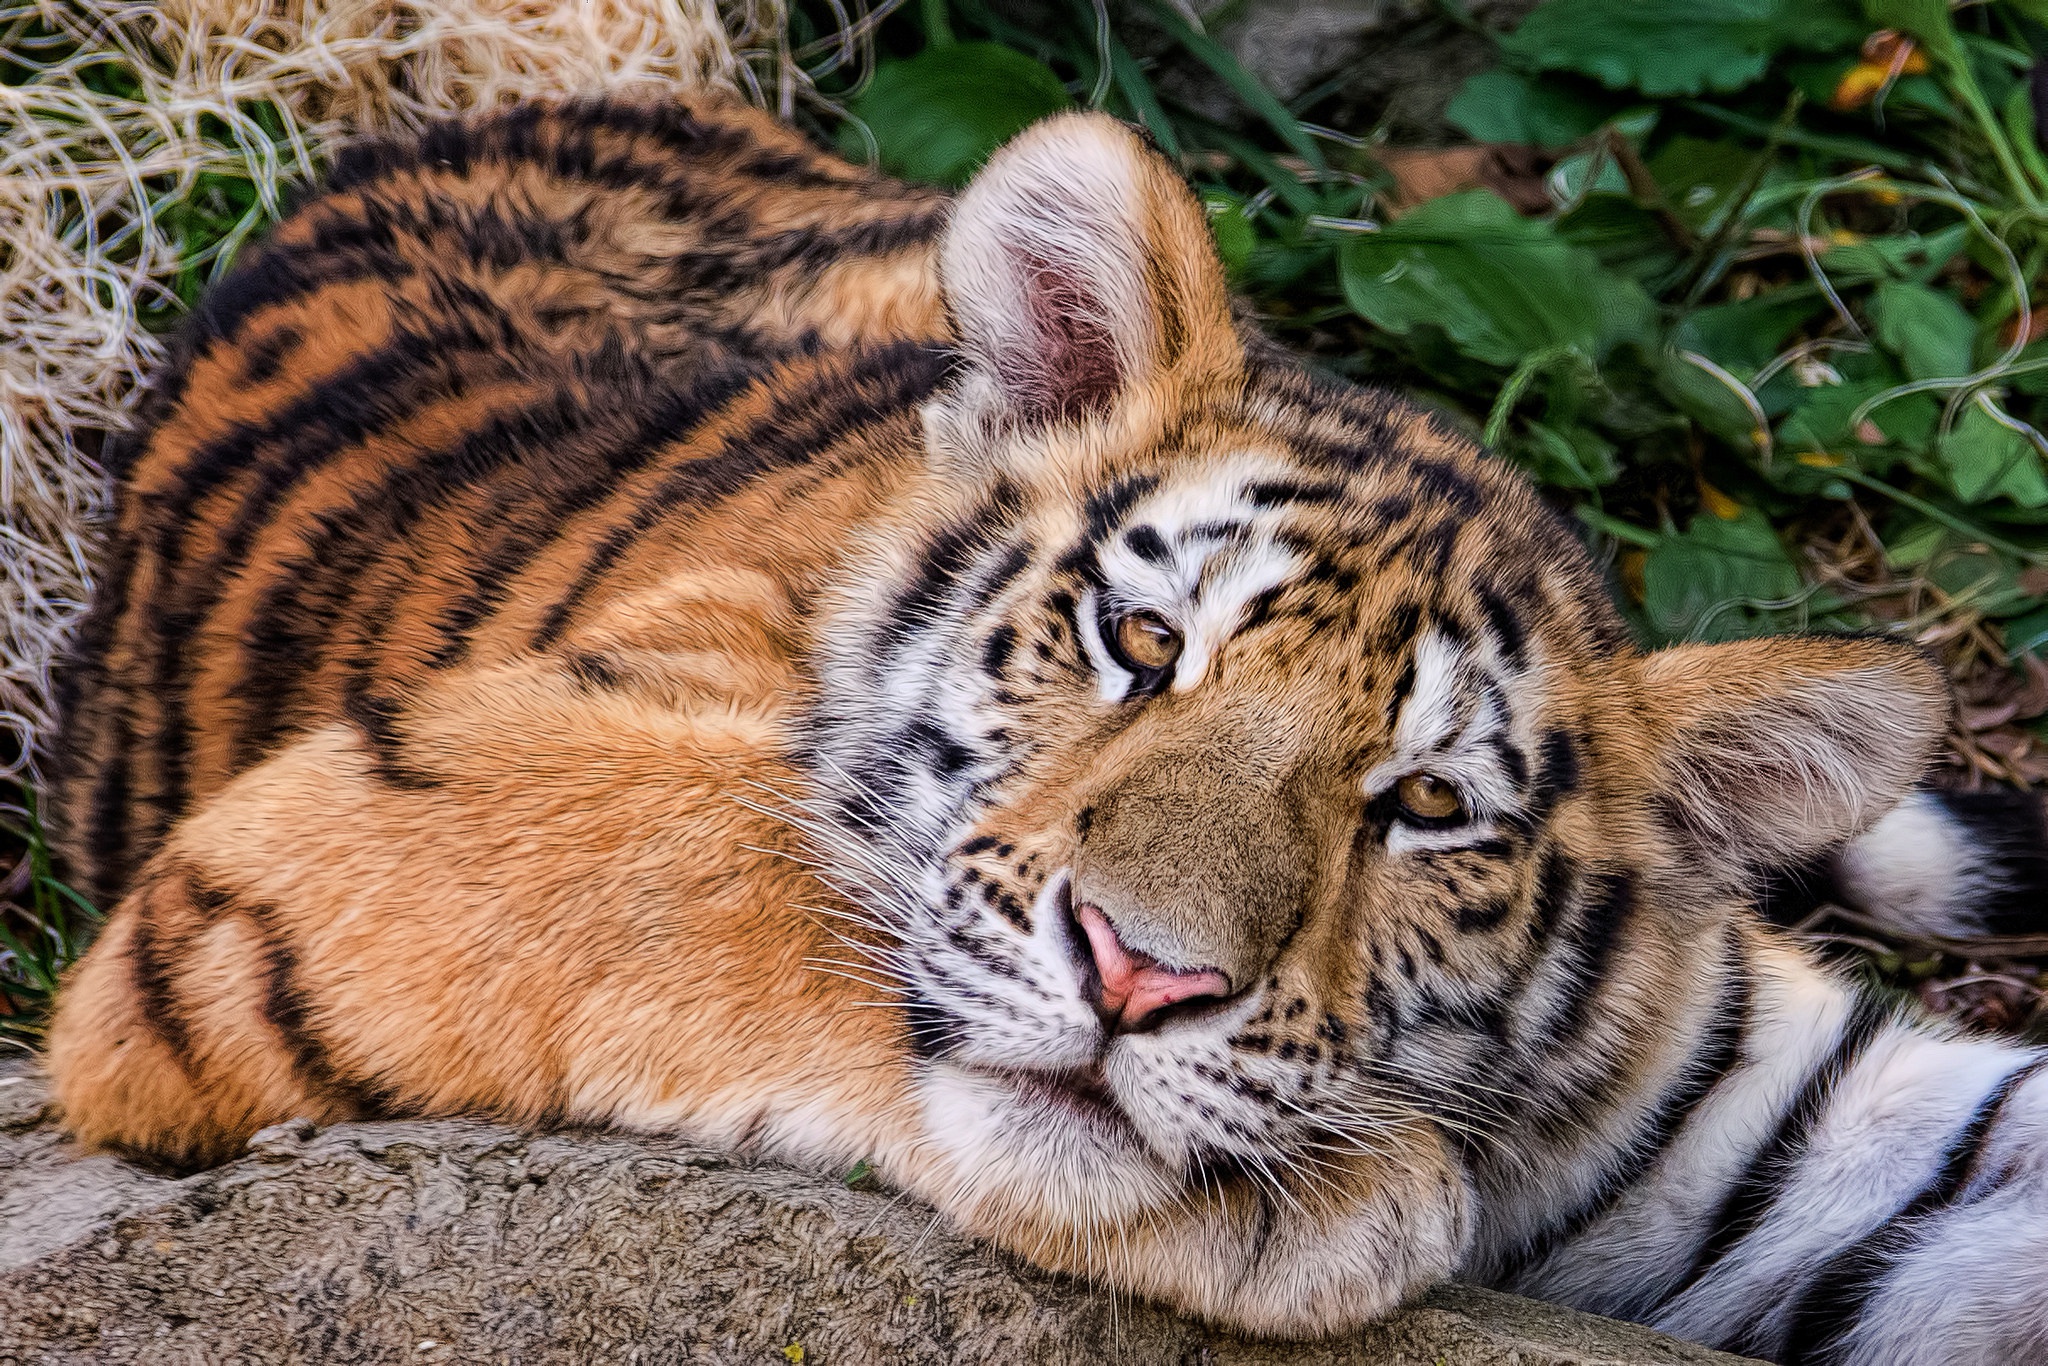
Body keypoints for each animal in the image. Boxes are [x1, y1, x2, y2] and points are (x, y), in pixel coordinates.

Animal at [36, 90, 2048, 1359]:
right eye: (1139, 640)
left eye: (1419, 806)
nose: (1142, 978)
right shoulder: (354, 827)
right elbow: (757, 889)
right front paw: (1338, 1203)